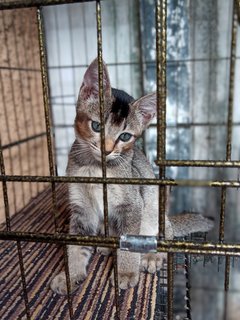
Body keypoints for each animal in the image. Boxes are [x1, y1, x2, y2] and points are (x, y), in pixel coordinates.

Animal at [51, 58, 214, 296]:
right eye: (96, 126)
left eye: (125, 136)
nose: (107, 150)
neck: (95, 169)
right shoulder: (82, 207)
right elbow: (75, 246)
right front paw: (70, 275)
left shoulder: (132, 205)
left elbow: (129, 244)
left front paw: (126, 273)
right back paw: (105, 246)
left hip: (154, 213)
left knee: (164, 237)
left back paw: (152, 257)